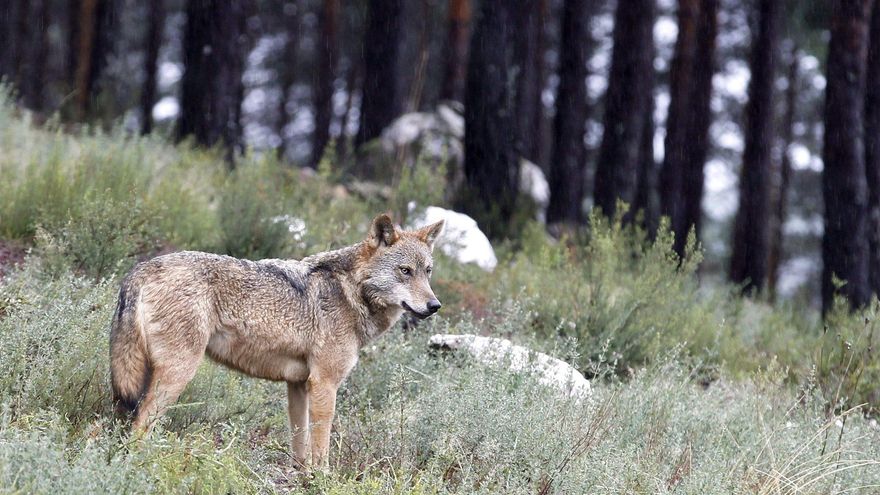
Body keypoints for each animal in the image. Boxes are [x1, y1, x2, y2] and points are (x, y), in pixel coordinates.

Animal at [109, 214, 444, 469]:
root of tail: (141, 268)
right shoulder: (325, 384)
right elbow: (321, 446)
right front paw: (324, 479)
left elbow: (301, 444)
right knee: (140, 426)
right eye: (405, 271)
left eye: (427, 272)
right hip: (177, 374)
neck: (351, 292)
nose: (434, 306)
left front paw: (303, 476)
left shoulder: (298, 385)